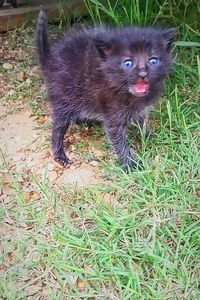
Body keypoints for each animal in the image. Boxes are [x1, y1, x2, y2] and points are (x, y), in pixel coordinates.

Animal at [36, 10, 176, 171]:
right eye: (128, 63)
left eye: (153, 61)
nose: (142, 74)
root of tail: (49, 61)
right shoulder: (113, 115)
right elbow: (118, 140)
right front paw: (130, 164)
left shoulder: (141, 109)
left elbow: (142, 122)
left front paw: (151, 136)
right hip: (64, 98)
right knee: (57, 128)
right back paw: (60, 155)